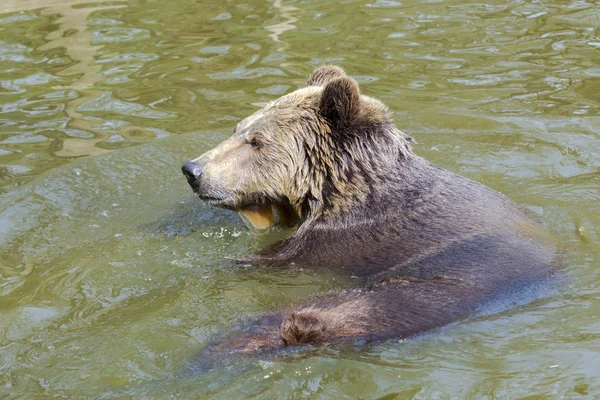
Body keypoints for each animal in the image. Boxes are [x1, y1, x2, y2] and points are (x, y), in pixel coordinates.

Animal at [180, 65, 560, 360]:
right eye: (238, 128)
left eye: (256, 141)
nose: (193, 170)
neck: (338, 191)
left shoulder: (345, 237)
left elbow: (271, 258)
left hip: (439, 289)